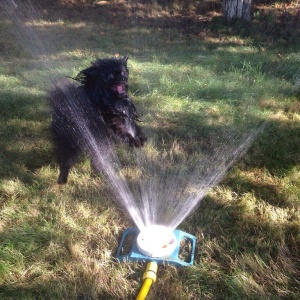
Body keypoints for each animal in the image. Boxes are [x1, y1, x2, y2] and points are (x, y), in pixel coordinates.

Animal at [49, 55, 146, 184]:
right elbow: (122, 132)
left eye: (123, 73)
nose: (122, 78)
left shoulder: (126, 118)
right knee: (67, 160)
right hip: (70, 141)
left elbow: (134, 127)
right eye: (110, 76)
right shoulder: (111, 124)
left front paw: (139, 137)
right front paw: (133, 140)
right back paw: (62, 179)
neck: (110, 99)